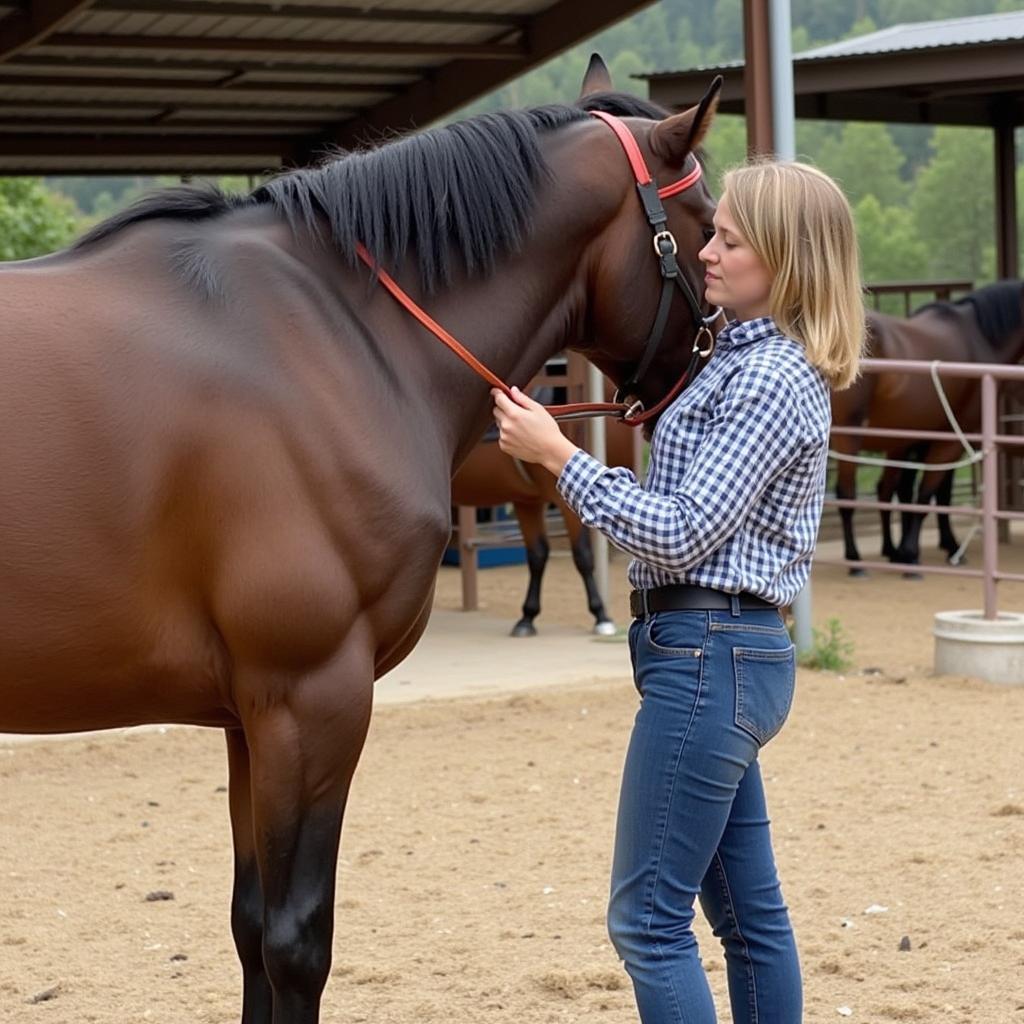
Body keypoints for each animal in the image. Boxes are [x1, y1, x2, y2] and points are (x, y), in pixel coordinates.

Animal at [452, 385, 634, 638]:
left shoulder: (528, 501)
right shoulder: (564, 498)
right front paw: (601, 615)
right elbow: (583, 555)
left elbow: (538, 554)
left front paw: (527, 617)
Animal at [831, 280, 1024, 569]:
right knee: (846, 494)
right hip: (848, 437)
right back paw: (855, 560)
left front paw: (928, 549)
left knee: (882, 490)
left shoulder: (929, 439)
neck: (980, 339)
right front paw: (913, 554)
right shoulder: (952, 439)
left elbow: (930, 495)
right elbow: (926, 495)